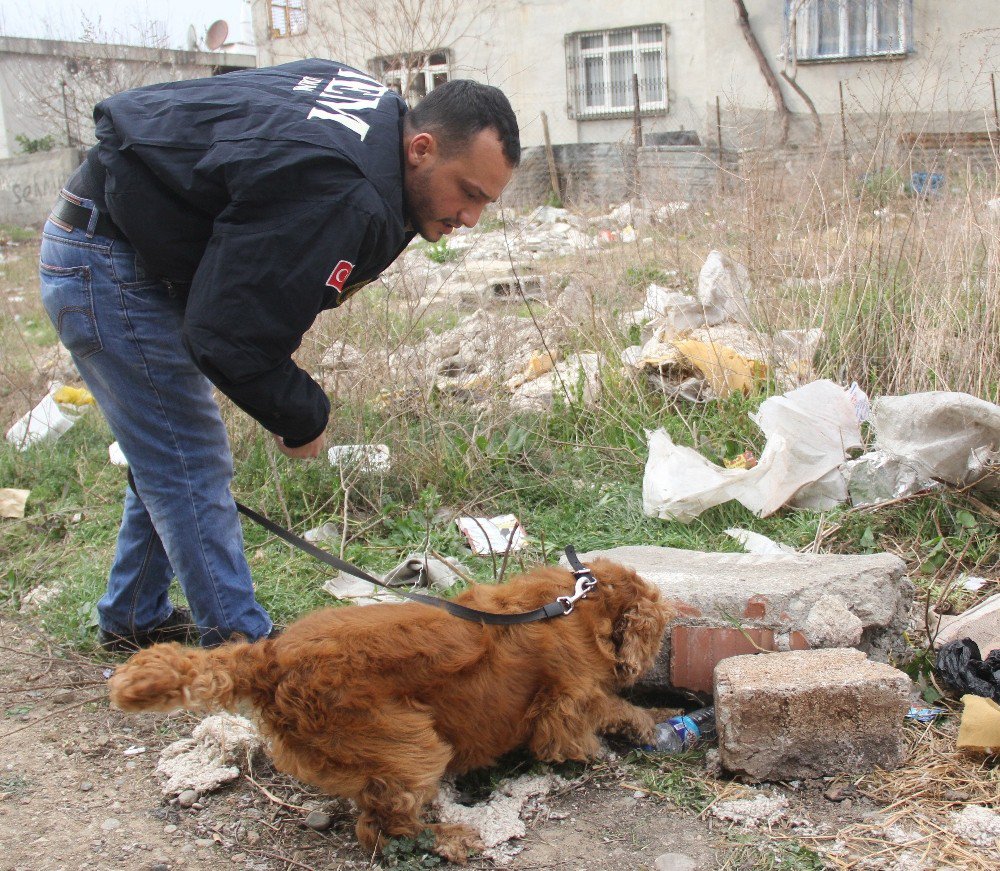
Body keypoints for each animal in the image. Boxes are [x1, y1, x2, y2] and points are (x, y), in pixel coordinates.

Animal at [107, 560, 672, 864]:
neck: (574, 605)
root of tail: (270, 658)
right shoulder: (567, 704)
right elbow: (607, 711)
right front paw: (653, 723)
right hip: (409, 745)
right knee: (381, 828)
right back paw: (448, 838)